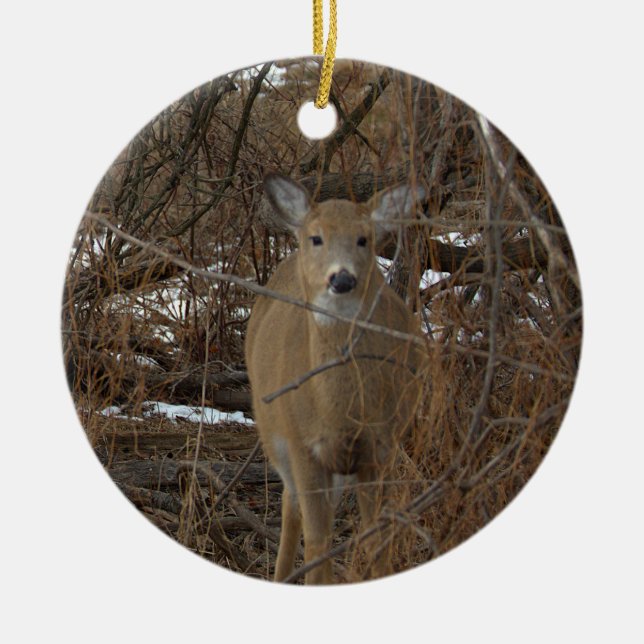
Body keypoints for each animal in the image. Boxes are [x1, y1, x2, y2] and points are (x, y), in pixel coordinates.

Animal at [245, 173, 427, 584]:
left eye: (364, 239)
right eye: (317, 238)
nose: (342, 278)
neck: (339, 414)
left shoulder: (379, 448)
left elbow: (375, 536)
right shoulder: (302, 445)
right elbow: (317, 542)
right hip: (274, 435)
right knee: (292, 505)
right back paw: (281, 575)